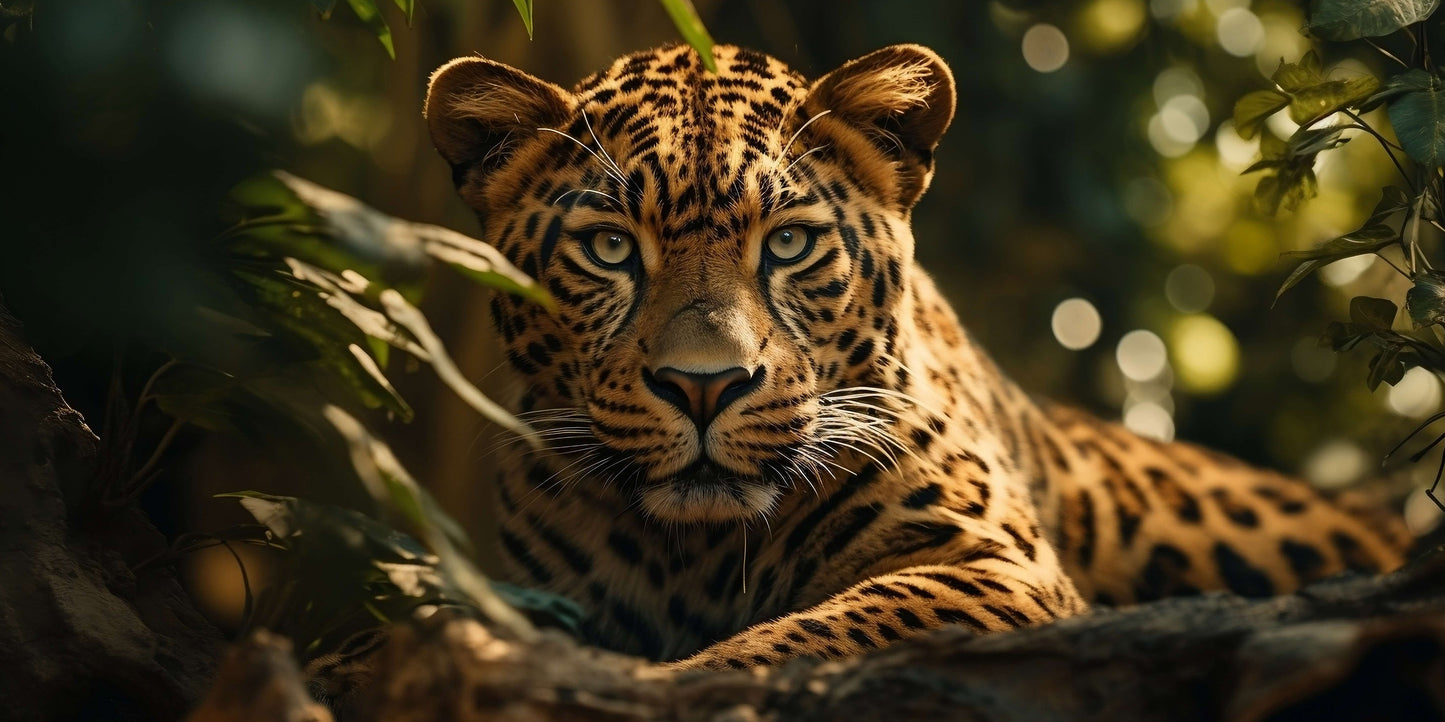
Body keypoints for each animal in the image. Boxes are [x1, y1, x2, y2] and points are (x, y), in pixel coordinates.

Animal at [309, 41, 1409, 696]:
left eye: (790, 244)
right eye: (611, 249)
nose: (703, 385)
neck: (690, 552)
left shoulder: (987, 564)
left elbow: (787, 641)